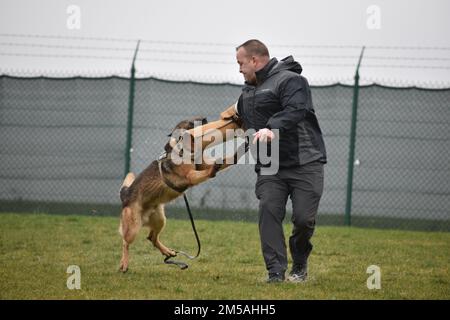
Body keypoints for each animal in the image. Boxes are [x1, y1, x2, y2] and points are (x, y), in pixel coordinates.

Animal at [117, 112, 243, 272]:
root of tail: (125, 195)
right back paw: (124, 263)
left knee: (152, 237)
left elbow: (227, 161)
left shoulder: (200, 167)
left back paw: (167, 252)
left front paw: (241, 150)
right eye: (190, 123)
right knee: (125, 242)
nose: (205, 118)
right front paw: (214, 169)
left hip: (160, 219)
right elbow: (208, 171)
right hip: (133, 227)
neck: (181, 149)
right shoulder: (191, 176)